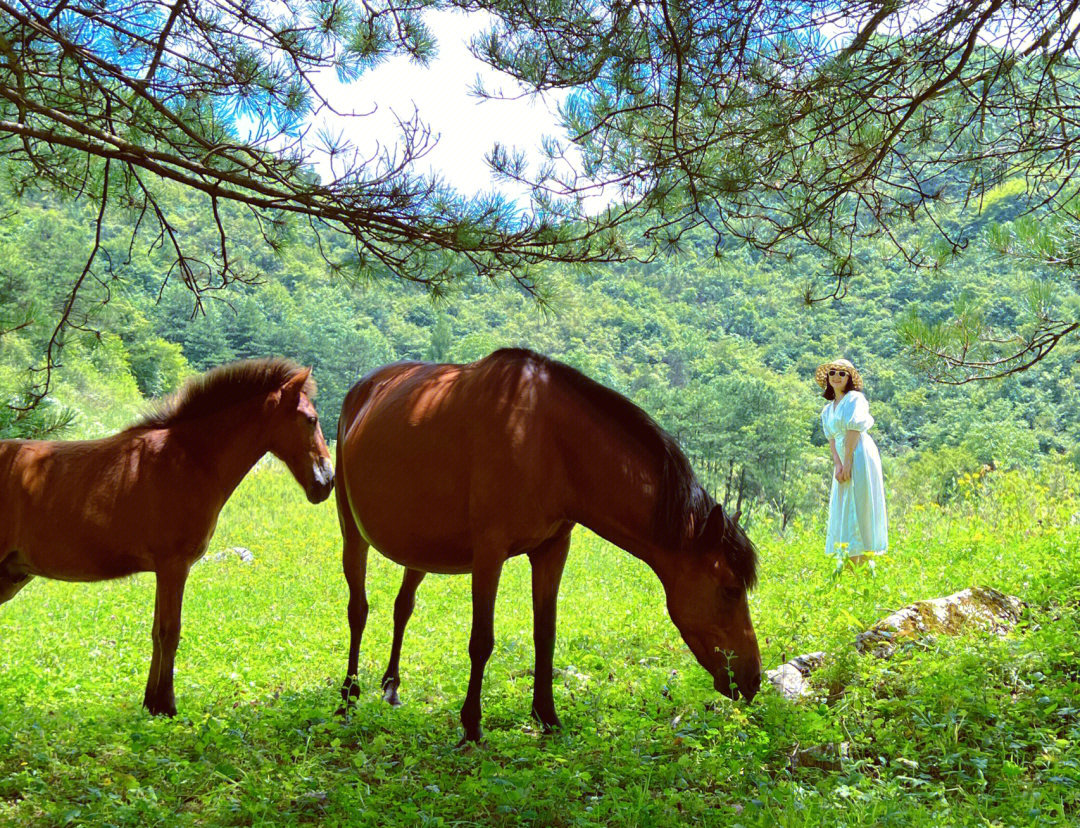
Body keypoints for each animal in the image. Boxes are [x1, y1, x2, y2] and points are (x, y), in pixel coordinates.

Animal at [0, 358, 332, 716]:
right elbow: (169, 632)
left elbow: (156, 632)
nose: (326, 482)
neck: (190, 458)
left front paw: (151, 702)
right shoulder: (175, 565)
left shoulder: (164, 569)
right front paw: (167, 704)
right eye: (311, 419)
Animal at [336, 347, 760, 742]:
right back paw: (348, 696)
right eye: (731, 589)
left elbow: (546, 635)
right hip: (352, 532)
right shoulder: (489, 553)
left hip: (419, 551)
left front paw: (547, 715)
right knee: (358, 610)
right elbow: (481, 641)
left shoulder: (552, 549)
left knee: (402, 607)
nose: (753, 679)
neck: (544, 440)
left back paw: (391, 687)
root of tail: (362, 389)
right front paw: (471, 725)